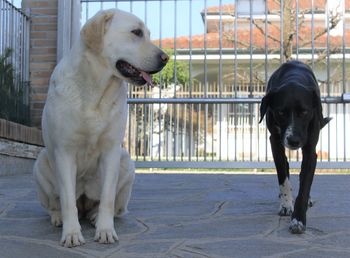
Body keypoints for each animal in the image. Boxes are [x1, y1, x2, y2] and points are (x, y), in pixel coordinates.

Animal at [32, 9, 168, 247]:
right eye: (136, 32)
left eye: (148, 34)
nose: (166, 58)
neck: (96, 89)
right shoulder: (65, 152)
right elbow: (67, 200)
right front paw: (71, 233)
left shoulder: (112, 151)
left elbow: (107, 198)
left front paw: (105, 230)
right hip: (41, 163)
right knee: (56, 204)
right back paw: (58, 217)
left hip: (127, 163)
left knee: (113, 207)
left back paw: (95, 216)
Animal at [260, 60, 330, 234]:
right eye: (281, 112)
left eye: (304, 112)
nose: (293, 140)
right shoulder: (275, 144)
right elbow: (283, 177)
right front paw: (286, 205)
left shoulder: (311, 151)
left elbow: (304, 186)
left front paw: (298, 219)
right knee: (286, 168)